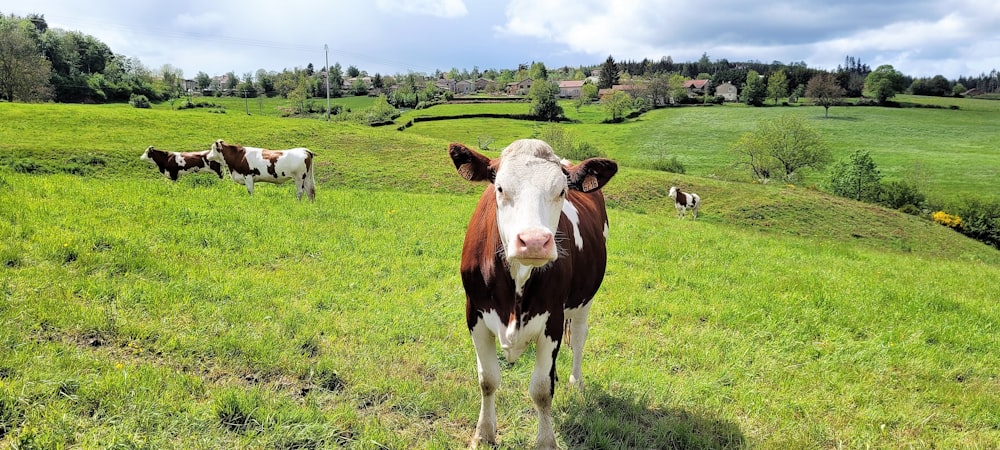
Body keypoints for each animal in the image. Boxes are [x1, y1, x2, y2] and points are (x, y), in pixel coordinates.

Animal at [452, 139, 616, 448]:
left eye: (562, 191)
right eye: (500, 188)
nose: (535, 241)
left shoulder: (552, 319)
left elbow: (541, 390)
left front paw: (546, 441)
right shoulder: (474, 314)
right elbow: (487, 379)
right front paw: (484, 434)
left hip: (584, 300)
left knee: (579, 336)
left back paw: (576, 382)